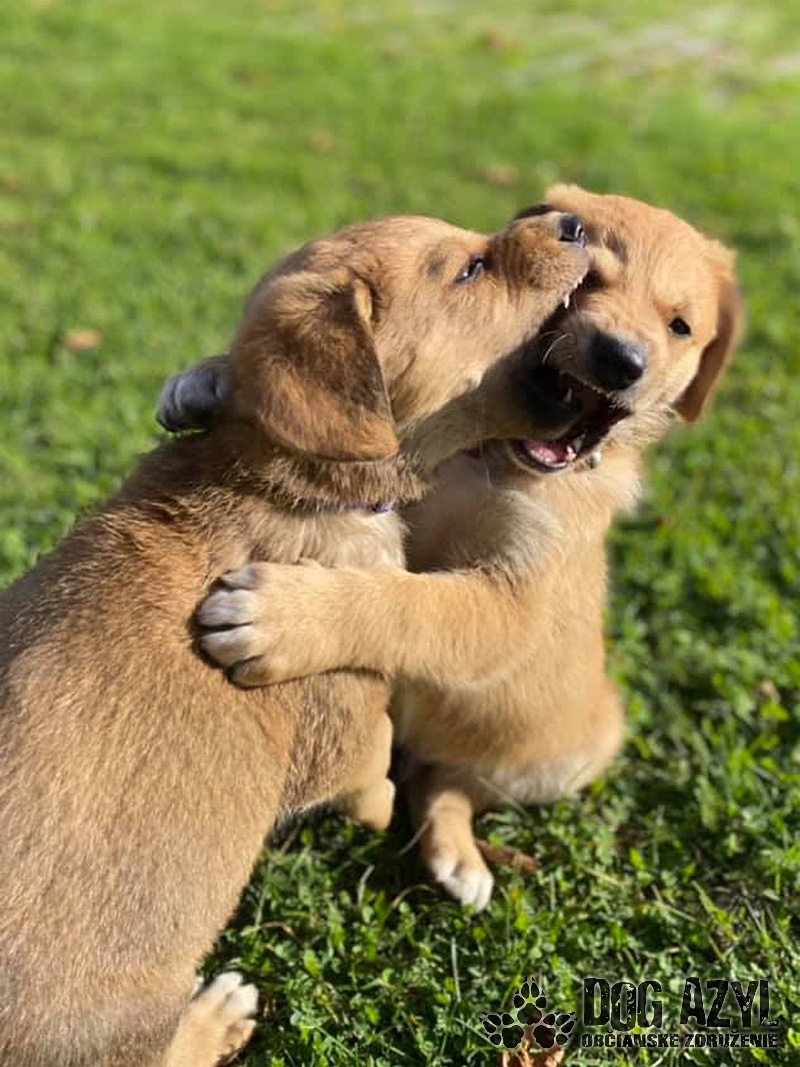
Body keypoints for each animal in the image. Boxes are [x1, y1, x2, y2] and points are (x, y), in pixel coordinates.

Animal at [0, 211, 589, 1064]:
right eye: (470, 270)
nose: (573, 221)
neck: (273, 478)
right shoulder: (344, 724)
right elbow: (374, 770)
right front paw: (384, 804)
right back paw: (217, 1012)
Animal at [158, 186, 743, 914]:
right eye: (592, 282)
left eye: (680, 326)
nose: (619, 359)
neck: (478, 459)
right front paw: (200, 382)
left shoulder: (513, 604)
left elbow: (408, 604)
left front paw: (279, 617)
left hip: (563, 753)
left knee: (449, 782)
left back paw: (459, 857)